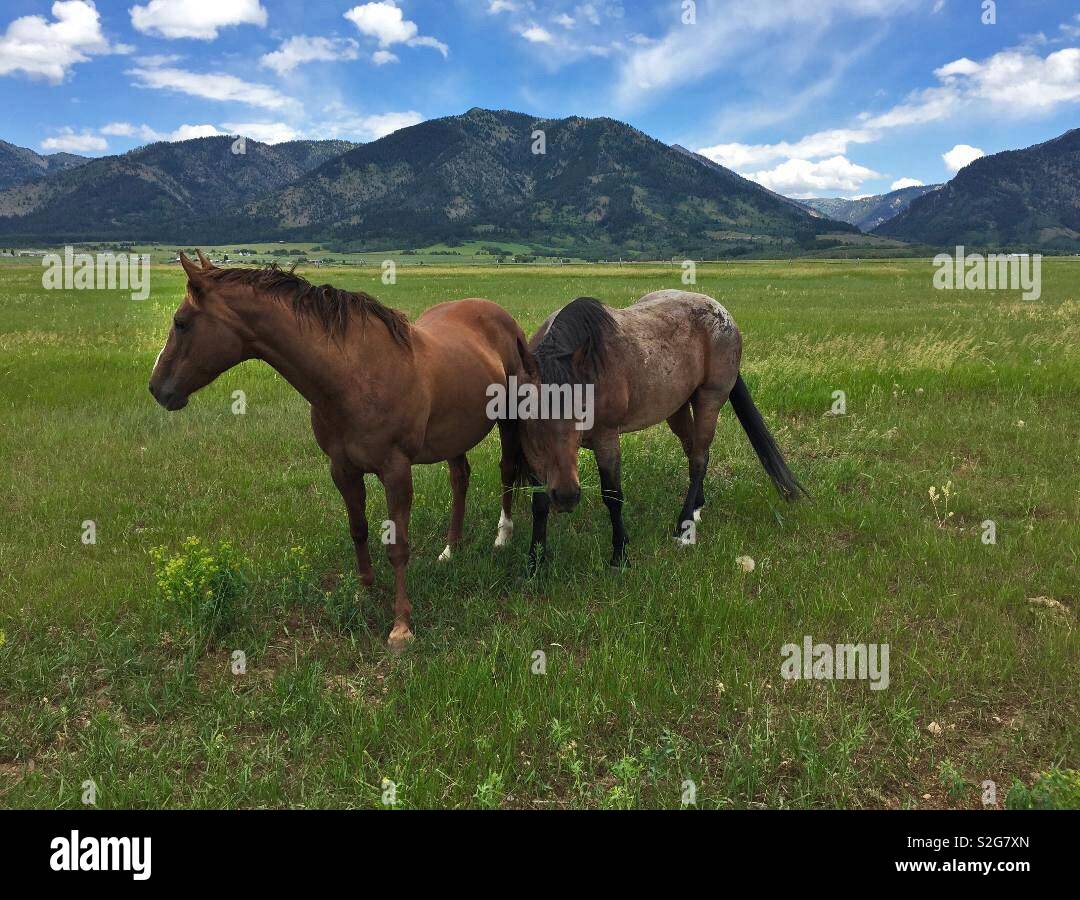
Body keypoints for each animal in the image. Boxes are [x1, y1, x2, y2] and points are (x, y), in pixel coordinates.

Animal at [147, 249, 527, 648]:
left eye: (181, 323)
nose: (157, 388)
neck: (352, 375)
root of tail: (497, 313)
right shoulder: (342, 468)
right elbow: (358, 529)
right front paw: (363, 590)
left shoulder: (395, 470)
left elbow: (398, 546)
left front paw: (401, 625)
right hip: (454, 434)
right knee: (459, 479)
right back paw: (450, 550)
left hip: (509, 419)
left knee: (506, 471)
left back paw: (502, 536)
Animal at [518, 287, 807, 570]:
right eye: (533, 417)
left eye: (582, 412)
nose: (566, 497)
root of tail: (725, 315)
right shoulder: (535, 454)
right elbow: (539, 502)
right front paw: (535, 560)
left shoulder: (606, 437)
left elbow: (612, 496)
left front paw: (620, 555)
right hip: (676, 407)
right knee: (692, 450)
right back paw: (697, 506)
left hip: (709, 399)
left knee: (699, 459)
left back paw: (684, 523)